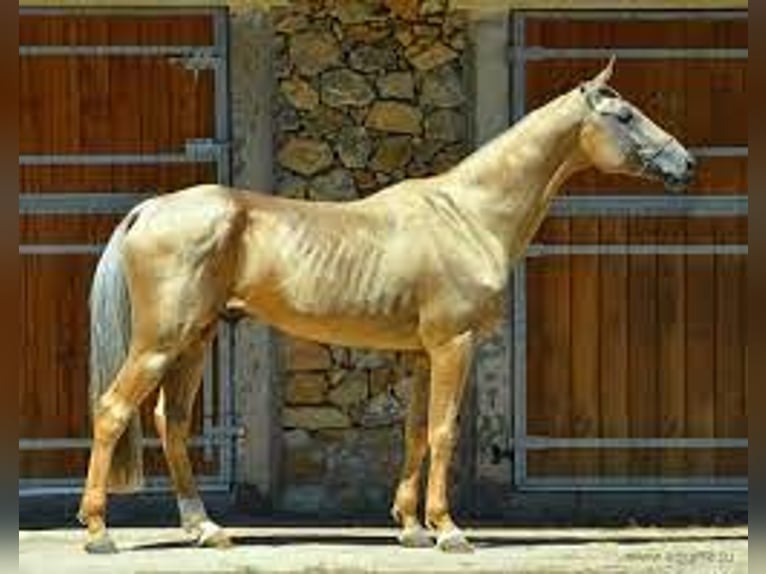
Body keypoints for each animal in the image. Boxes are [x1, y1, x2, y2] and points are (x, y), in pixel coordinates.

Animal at [76, 57, 696, 552]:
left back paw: (206, 529)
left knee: (171, 422)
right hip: (161, 342)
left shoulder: (423, 354)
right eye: (624, 116)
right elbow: (444, 432)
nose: (686, 163)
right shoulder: (454, 345)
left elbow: (416, 432)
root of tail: (152, 208)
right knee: (112, 410)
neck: (470, 215)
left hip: (196, 339)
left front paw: (411, 526)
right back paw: (100, 531)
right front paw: (448, 530)